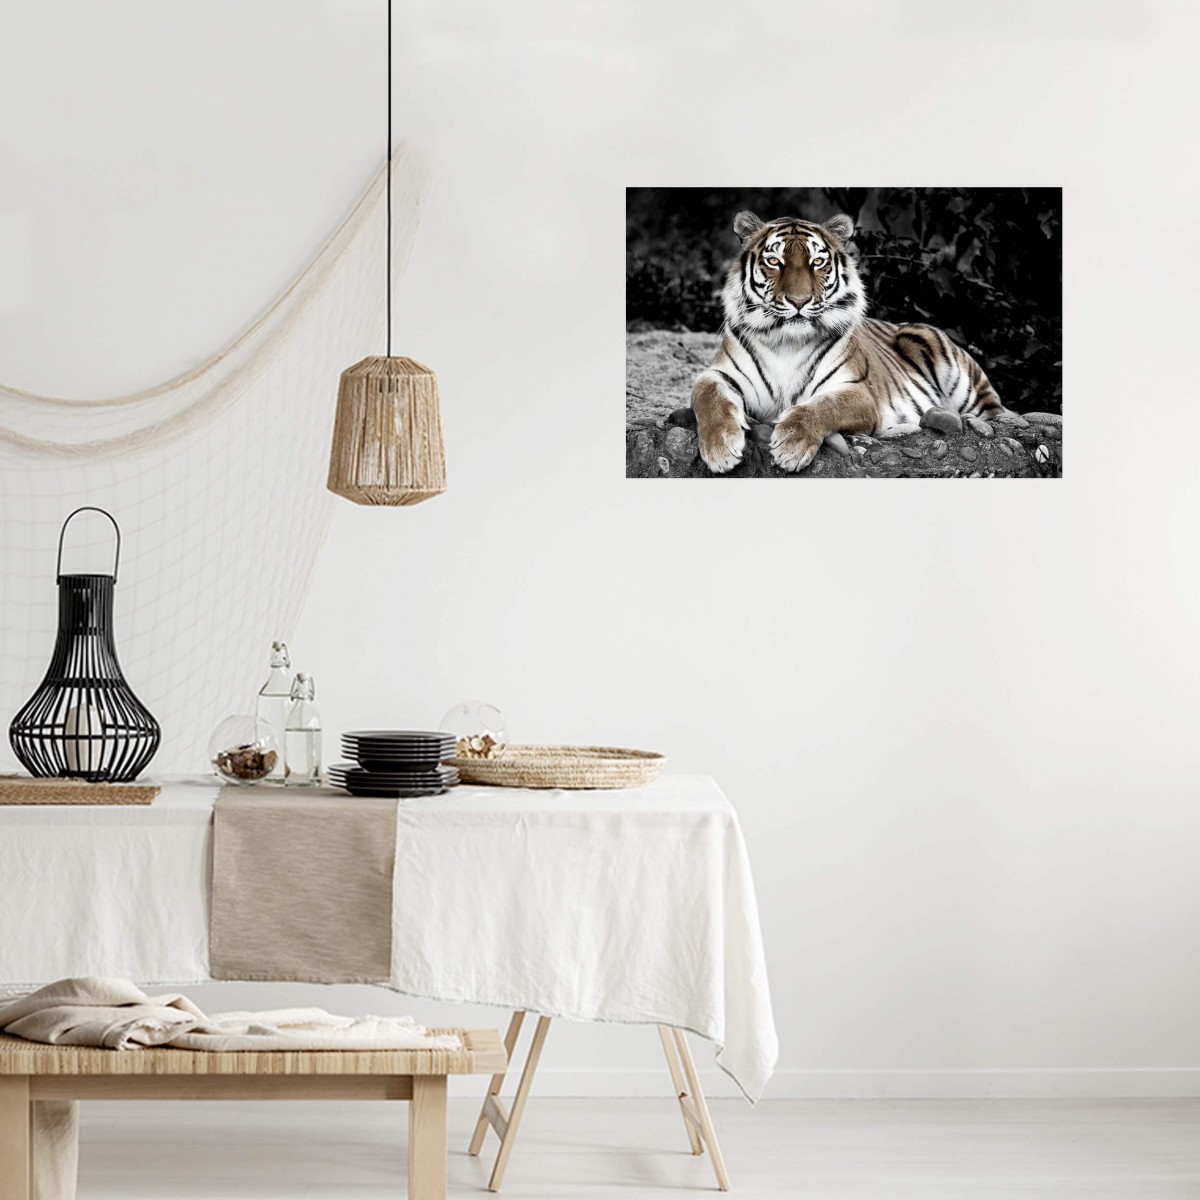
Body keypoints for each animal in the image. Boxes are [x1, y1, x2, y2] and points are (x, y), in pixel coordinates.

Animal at [691, 210, 1004, 474]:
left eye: (817, 262)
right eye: (774, 262)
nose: (798, 301)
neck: (787, 343)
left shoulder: (858, 392)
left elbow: (822, 406)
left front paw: (791, 444)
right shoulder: (719, 374)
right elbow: (709, 397)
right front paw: (721, 448)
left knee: (995, 413)